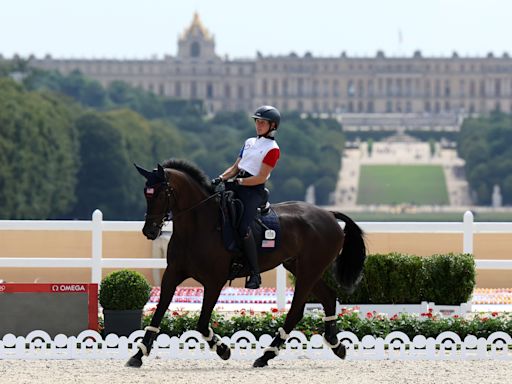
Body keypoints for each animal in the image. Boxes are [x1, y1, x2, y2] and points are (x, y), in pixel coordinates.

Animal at [127, 158, 368, 368]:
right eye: (146, 193)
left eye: (161, 193)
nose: (150, 231)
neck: (198, 226)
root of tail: (329, 214)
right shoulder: (172, 274)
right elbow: (158, 314)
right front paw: (138, 355)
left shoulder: (214, 282)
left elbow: (202, 323)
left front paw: (223, 350)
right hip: (301, 268)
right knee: (327, 298)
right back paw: (336, 346)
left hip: (310, 270)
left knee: (296, 312)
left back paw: (266, 356)